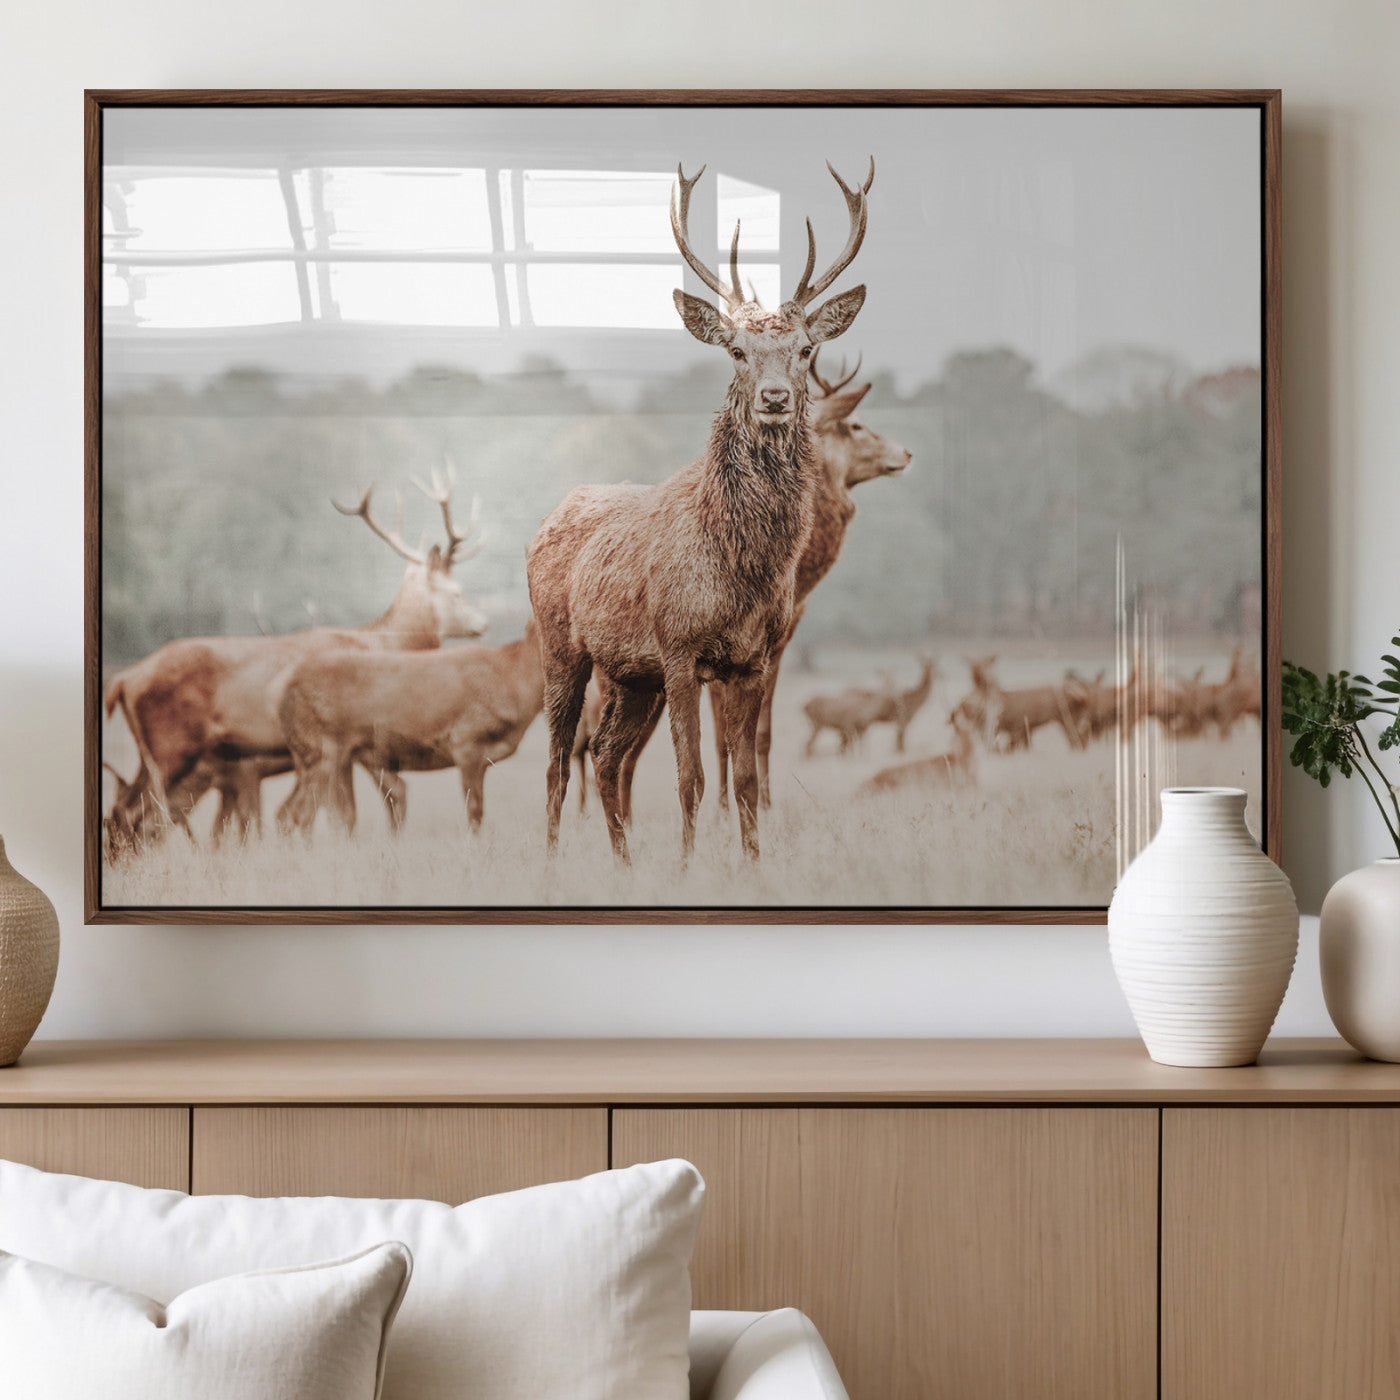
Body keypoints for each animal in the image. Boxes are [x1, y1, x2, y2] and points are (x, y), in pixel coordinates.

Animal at [101, 473, 486, 849]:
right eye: (457, 592)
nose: (482, 623)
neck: (384, 645)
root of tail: (123, 680)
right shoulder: (356, 738)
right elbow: (361, 807)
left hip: (154, 753)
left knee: (129, 811)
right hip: (171, 748)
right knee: (137, 814)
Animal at [276, 619, 543, 835]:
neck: (515, 683)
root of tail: (284, 694)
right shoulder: (465, 739)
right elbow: (475, 811)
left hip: (311, 755)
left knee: (292, 813)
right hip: (322, 749)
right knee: (299, 813)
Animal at [527, 158, 871, 862]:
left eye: (804, 350)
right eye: (736, 351)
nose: (774, 397)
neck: (739, 570)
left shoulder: (751, 659)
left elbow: (744, 777)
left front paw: (752, 863)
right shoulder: (680, 647)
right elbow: (692, 776)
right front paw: (688, 867)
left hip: (630, 674)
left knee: (606, 755)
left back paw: (625, 864)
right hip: (563, 646)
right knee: (556, 762)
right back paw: (550, 863)